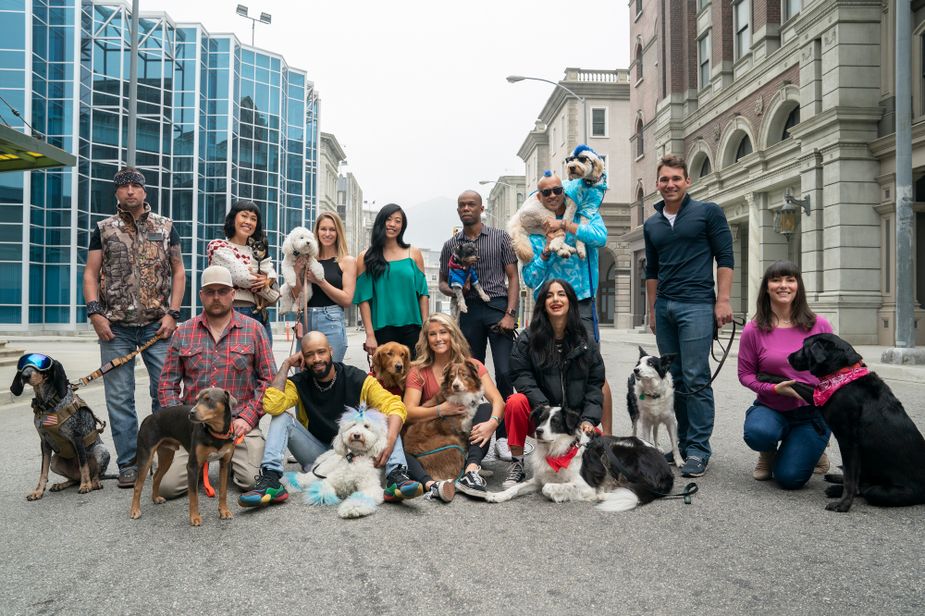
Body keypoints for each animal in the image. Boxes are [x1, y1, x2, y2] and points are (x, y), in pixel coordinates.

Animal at [9, 352, 111, 500]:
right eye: (23, 365)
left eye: (42, 364)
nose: (25, 376)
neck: (47, 404)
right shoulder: (44, 443)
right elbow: (43, 471)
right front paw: (38, 491)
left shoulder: (77, 437)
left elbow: (83, 464)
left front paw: (85, 485)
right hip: (55, 461)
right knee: (74, 479)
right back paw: (62, 484)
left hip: (101, 450)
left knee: (96, 474)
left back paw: (93, 483)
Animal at [130, 390, 238, 524]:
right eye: (197, 400)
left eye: (209, 400)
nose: (191, 413)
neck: (215, 433)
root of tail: (149, 417)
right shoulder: (193, 466)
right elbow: (193, 495)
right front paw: (195, 517)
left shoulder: (225, 464)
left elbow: (223, 491)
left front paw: (224, 511)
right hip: (146, 456)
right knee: (137, 485)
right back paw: (135, 510)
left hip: (166, 456)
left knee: (156, 477)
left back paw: (155, 498)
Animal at [484, 404, 672, 510]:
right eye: (541, 419)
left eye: (555, 422)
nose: (538, 431)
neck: (558, 452)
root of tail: (665, 469)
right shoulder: (538, 479)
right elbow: (516, 488)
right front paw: (497, 495)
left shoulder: (584, 484)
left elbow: (549, 487)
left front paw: (559, 495)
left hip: (619, 451)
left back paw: (604, 495)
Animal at [784, 334, 924, 512]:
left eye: (804, 347)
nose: (788, 357)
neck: (841, 373)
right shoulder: (820, 399)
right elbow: (794, 382)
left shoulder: (848, 442)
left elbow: (850, 479)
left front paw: (843, 505)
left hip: (880, 490)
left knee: (865, 488)